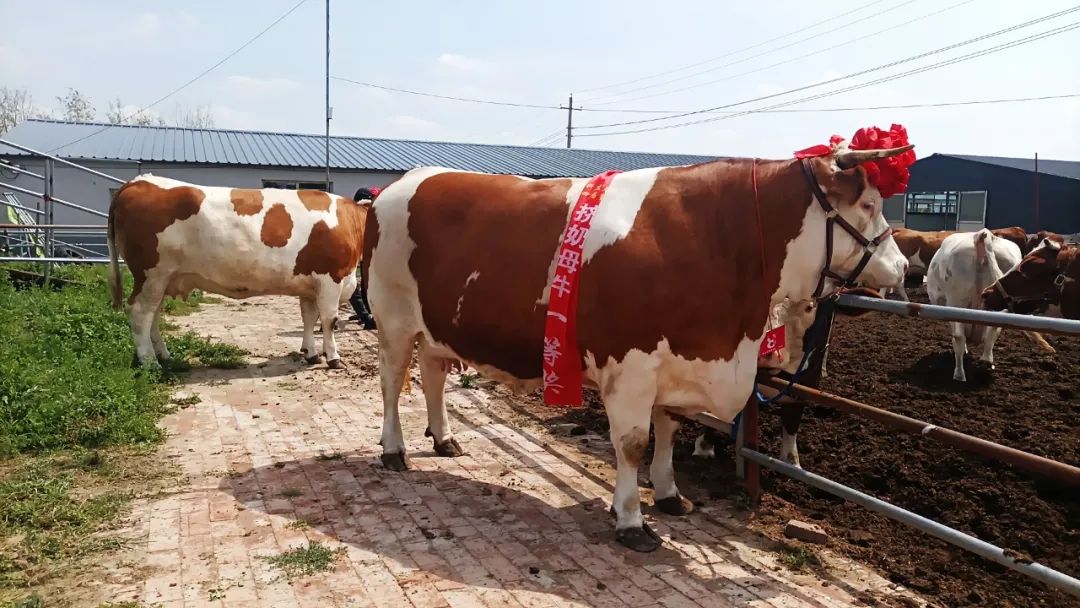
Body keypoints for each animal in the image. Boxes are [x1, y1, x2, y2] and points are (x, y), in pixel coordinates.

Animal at [106, 173, 367, 369]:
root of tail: (138, 181)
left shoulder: (310, 284)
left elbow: (309, 318)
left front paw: (311, 353)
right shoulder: (331, 279)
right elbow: (329, 320)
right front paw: (333, 358)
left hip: (160, 280)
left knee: (154, 315)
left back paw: (165, 356)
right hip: (151, 274)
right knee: (140, 313)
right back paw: (150, 362)